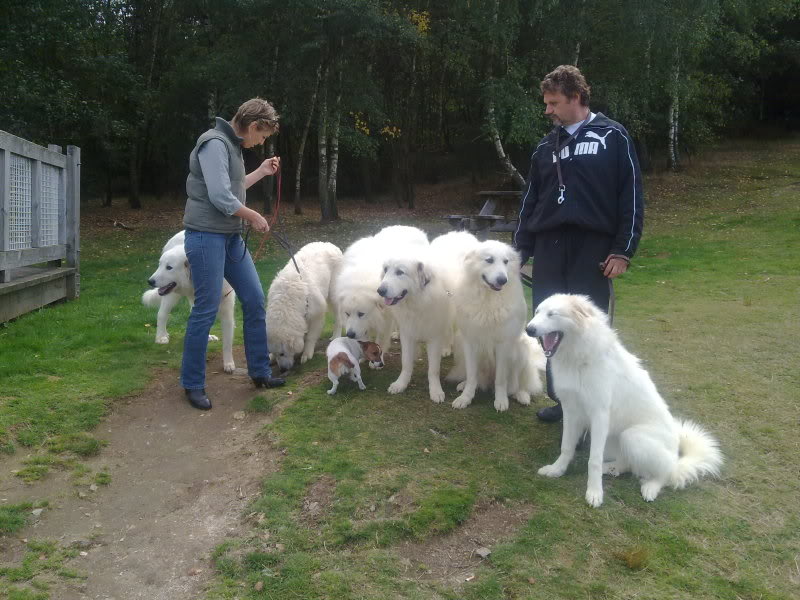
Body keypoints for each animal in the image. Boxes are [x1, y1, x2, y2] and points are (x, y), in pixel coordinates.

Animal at [142, 231, 236, 376]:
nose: (150, 281)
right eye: (160, 265)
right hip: (171, 295)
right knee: (162, 314)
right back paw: (161, 336)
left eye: (169, 267)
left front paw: (228, 364)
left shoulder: (227, 310)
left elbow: (227, 342)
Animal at [268, 240, 342, 372]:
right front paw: (270, 357)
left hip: (333, 295)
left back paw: (336, 336)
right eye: (277, 354)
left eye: (282, 353)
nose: (283, 370)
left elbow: (310, 337)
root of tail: (330, 244)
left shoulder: (317, 314)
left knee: (338, 318)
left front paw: (306, 354)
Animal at [446, 239, 548, 412]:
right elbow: (472, 376)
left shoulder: (503, 345)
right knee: (477, 378)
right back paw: (464, 384)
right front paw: (466, 398)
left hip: (521, 350)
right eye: (489, 260)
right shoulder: (470, 343)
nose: (502, 280)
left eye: (506, 262)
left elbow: (500, 380)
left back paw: (521, 395)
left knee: (519, 383)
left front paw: (501, 401)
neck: (488, 299)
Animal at [524, 294, 724, 506]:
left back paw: (650, 487)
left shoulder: (599, 415)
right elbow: (566, 447)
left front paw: (594, 492)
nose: (529, 329)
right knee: (628, 464)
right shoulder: (571, 412)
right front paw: (557, 470)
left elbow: (593, 460)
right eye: (537, 312)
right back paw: (610, 469)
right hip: (613, 440)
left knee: (665, 473)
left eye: (552, 314)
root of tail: (675, 456)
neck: (578, 358)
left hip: (633, 437)